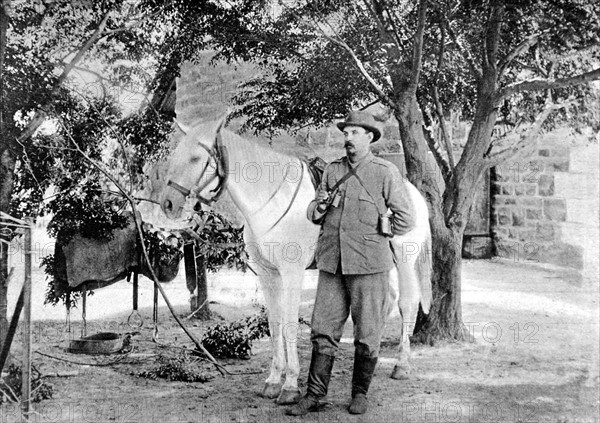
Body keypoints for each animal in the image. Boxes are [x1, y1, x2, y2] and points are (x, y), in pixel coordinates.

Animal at [159, 118, 432, 404]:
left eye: (195, 157)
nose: (168, 203)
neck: (269, 200)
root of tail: (411, 190)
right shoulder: (268, 274)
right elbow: (275, 324)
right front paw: (272, 381)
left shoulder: (292, 273)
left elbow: (289, 325)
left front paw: (290, 385)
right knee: (386, 302)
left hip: (404, 261)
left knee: (407, 304)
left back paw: (401, 365)